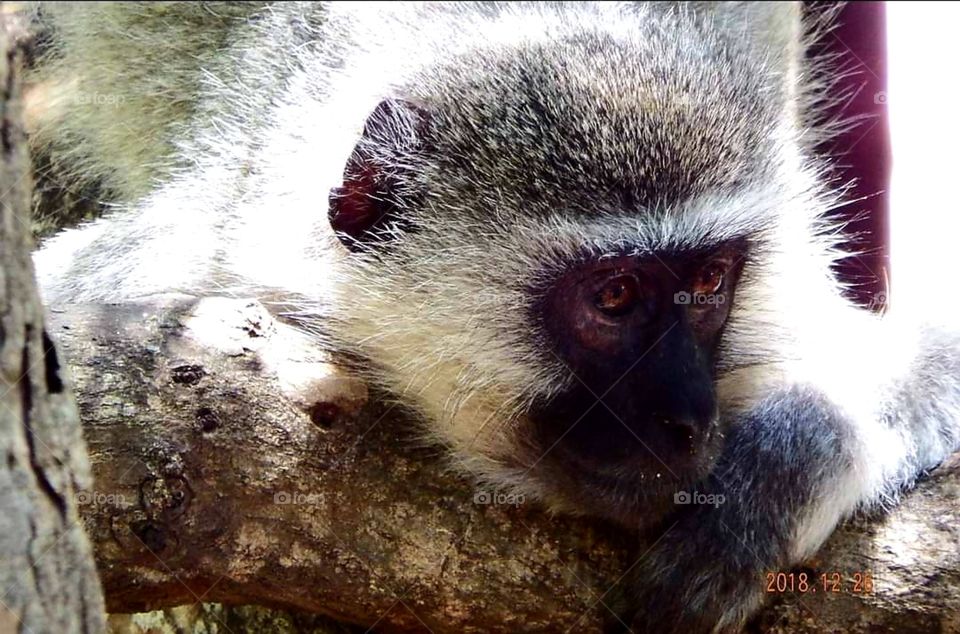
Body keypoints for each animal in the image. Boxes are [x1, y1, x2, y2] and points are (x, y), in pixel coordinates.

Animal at [27, 2, 960, 632]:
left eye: (710, 279)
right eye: (613, 297)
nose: (687, 420)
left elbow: (927, 367)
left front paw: (782, 467)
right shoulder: (167, 276)